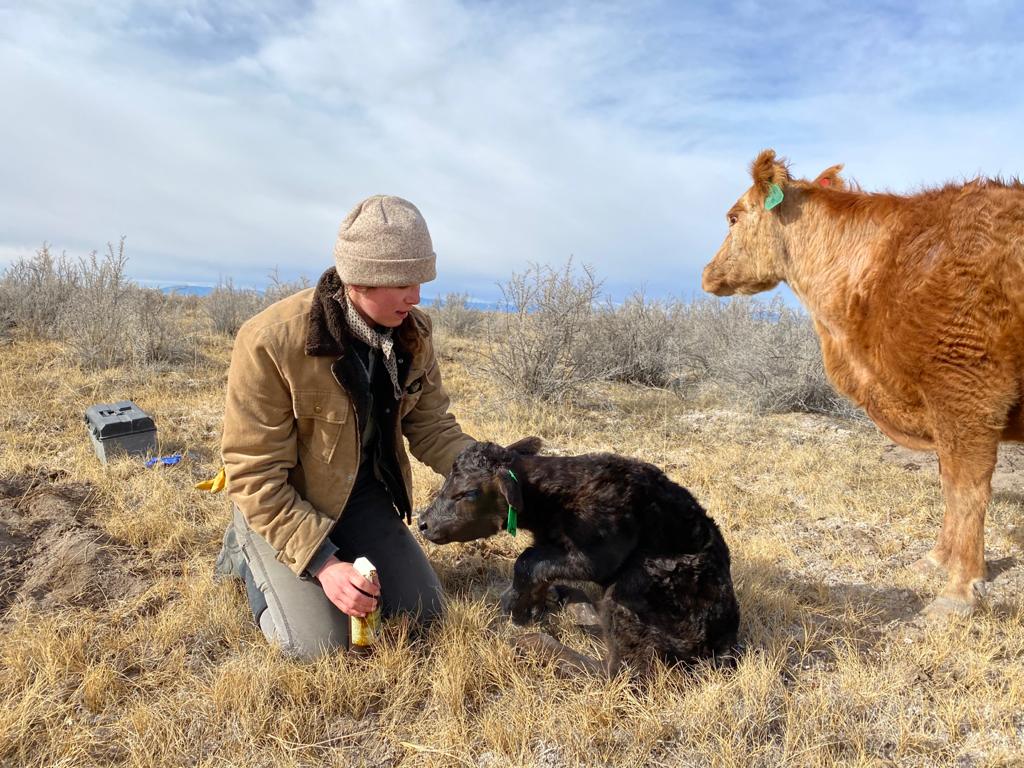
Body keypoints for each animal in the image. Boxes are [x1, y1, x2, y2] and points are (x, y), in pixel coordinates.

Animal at [702, 149, 1024, 617]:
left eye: (732, 217)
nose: (707, 273)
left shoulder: (967, 393)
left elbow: (966, 490)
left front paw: (959, 590)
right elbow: (946, 483)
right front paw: (936, 560)